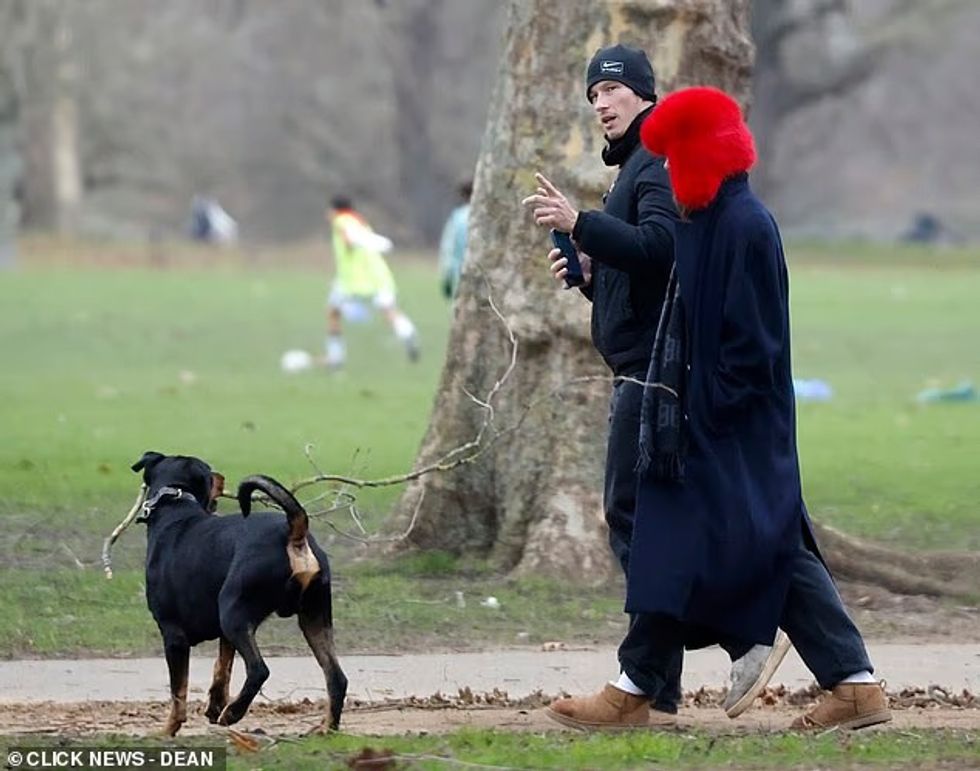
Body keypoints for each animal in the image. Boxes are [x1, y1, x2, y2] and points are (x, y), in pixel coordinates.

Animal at [130, 451, 347, 736]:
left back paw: (233, 713)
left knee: (259, 670)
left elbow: (179, 692)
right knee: (336, 677)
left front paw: (167, 730)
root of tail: (294, 531)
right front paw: (214, 705)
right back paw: (326, 729)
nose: (221, 476)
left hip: (234, 614)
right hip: (313, 618)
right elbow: (222, 668)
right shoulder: (224, 634)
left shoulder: (173, 635)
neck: (176, 503)